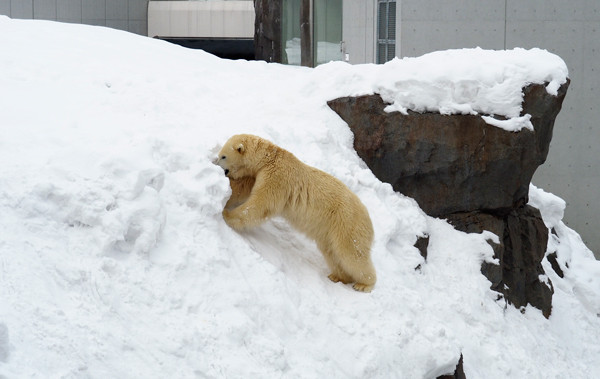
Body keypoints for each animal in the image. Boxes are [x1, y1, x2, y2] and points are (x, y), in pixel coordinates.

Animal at [216, 135, 376, 292]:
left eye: (223, 156)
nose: (217, 164)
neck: (269, 159)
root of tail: (367, 215)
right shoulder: (256, 175)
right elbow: (241, 187)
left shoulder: (277, 177)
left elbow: (261, 204)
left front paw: (226, 214)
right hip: (329, 232)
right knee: (332, 252)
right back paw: (338, 276)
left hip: (346, 223)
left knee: (351, 253)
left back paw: (363, 284)